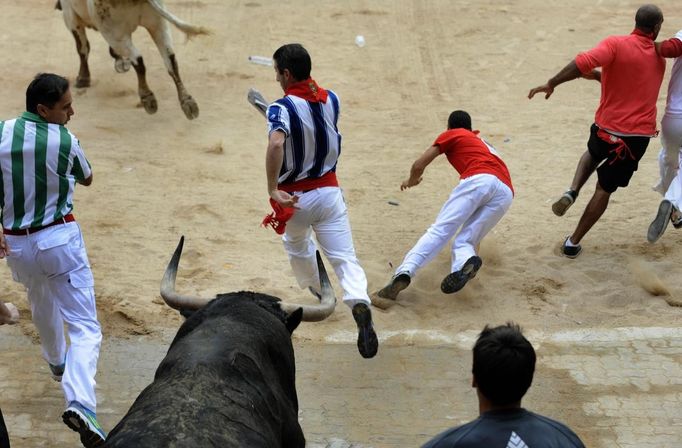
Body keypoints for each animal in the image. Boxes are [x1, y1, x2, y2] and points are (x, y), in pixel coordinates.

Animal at [55, 0, 207, 120]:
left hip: (116, 33)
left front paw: (83, 79)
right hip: (158, 25)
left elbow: (82, 48)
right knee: (170, 60)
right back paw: (189, 104)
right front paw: (120, 62)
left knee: (139, 60)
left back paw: (148, 98)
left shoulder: (70, 17)